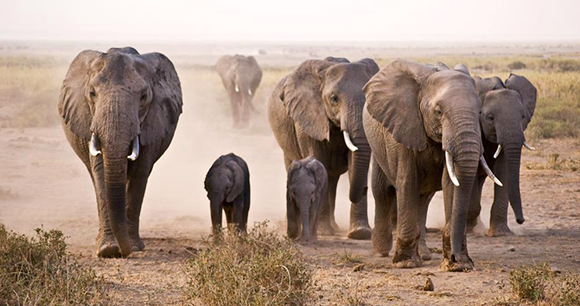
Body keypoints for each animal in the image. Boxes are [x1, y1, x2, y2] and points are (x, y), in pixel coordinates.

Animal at [57, 47, 182, 258]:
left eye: (143, 97)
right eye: (92, 93)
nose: (124, 252)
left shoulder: (153, 122)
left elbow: (139, 173)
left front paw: (132, 246)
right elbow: (100, 172)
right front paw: (108, 249)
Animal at [266, 56, 378, 239]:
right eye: (334, 99)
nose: (363, 190)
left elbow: (353, 164)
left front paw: (360, 233)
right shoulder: (307, 117)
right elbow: (319, 161)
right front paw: (323, 232)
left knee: (332, 179)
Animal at [362, 59, 502, 270]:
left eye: (479, 112)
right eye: (438, 112)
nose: (456, 258)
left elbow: (451, 183)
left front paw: (456, 266)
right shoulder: (402, 125)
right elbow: (407, 182)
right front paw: (405, 263)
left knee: (423, 198)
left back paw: (424, 255)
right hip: (377, 144)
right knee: (382, 191)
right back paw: (381, 251)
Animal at [464, 69, 536, 237]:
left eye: (523, 117)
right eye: (490, 118)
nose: (520, 220)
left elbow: (503, 170)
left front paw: (500, 233)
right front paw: (469, 229)